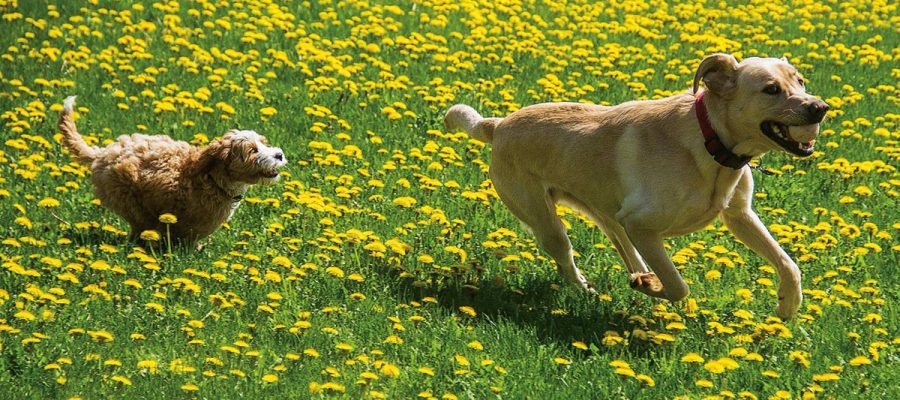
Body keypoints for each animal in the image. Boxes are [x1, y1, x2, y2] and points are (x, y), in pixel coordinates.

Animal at [60, 96, 284, 244]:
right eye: (253, 150)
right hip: (130, 202)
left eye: (264, 143)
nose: (279, 154)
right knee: (140, 226)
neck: (212, 178)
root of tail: (102, 154)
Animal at [446, 54, 832, 318]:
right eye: (771, 89)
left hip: (607, 214)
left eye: (800, 81)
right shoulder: (643, 225)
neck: (711, 141)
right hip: (546, 221)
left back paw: (638, 274)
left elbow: (788, 264)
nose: (820, 107)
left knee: (626, 250)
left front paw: (787, 306)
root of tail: (497, 124)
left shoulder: (739, 216)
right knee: (568, 258)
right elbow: (677, 284)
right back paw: (590, 289)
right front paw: (654, 287)